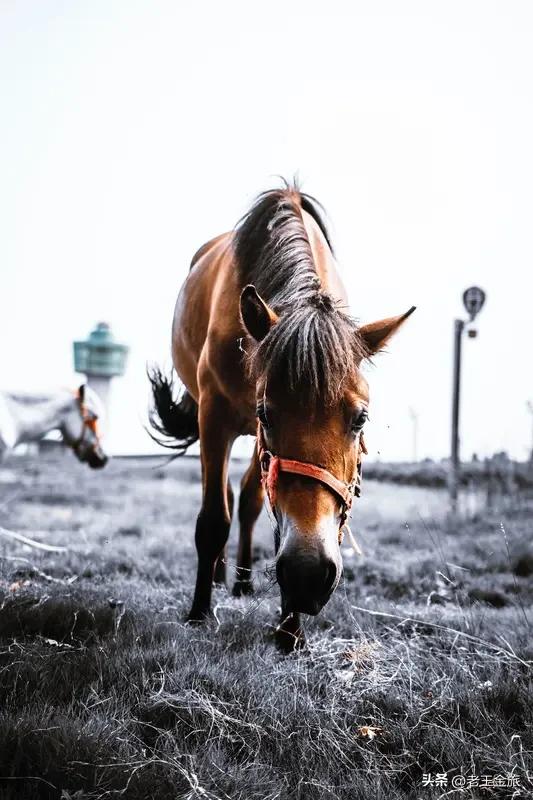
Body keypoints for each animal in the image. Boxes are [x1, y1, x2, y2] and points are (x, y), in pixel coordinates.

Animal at [149, 183, 414, 650]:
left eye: (361, 418)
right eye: (267, 413)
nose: (308, 574)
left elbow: (264, 512)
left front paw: (290, 630)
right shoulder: (217, 416)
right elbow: (213, 519)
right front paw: (199, 614)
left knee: (248, 500)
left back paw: (240, 581)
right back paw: (217, 577)